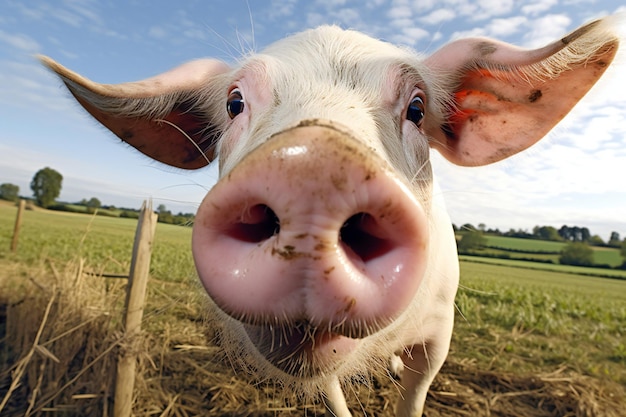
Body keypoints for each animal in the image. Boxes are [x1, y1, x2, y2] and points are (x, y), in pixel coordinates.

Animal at [40, 13, 620, 416]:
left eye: (416, 108)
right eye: (234, 103)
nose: (313, 166)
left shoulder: (441, 329)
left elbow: (416, 393)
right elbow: (333, 396)